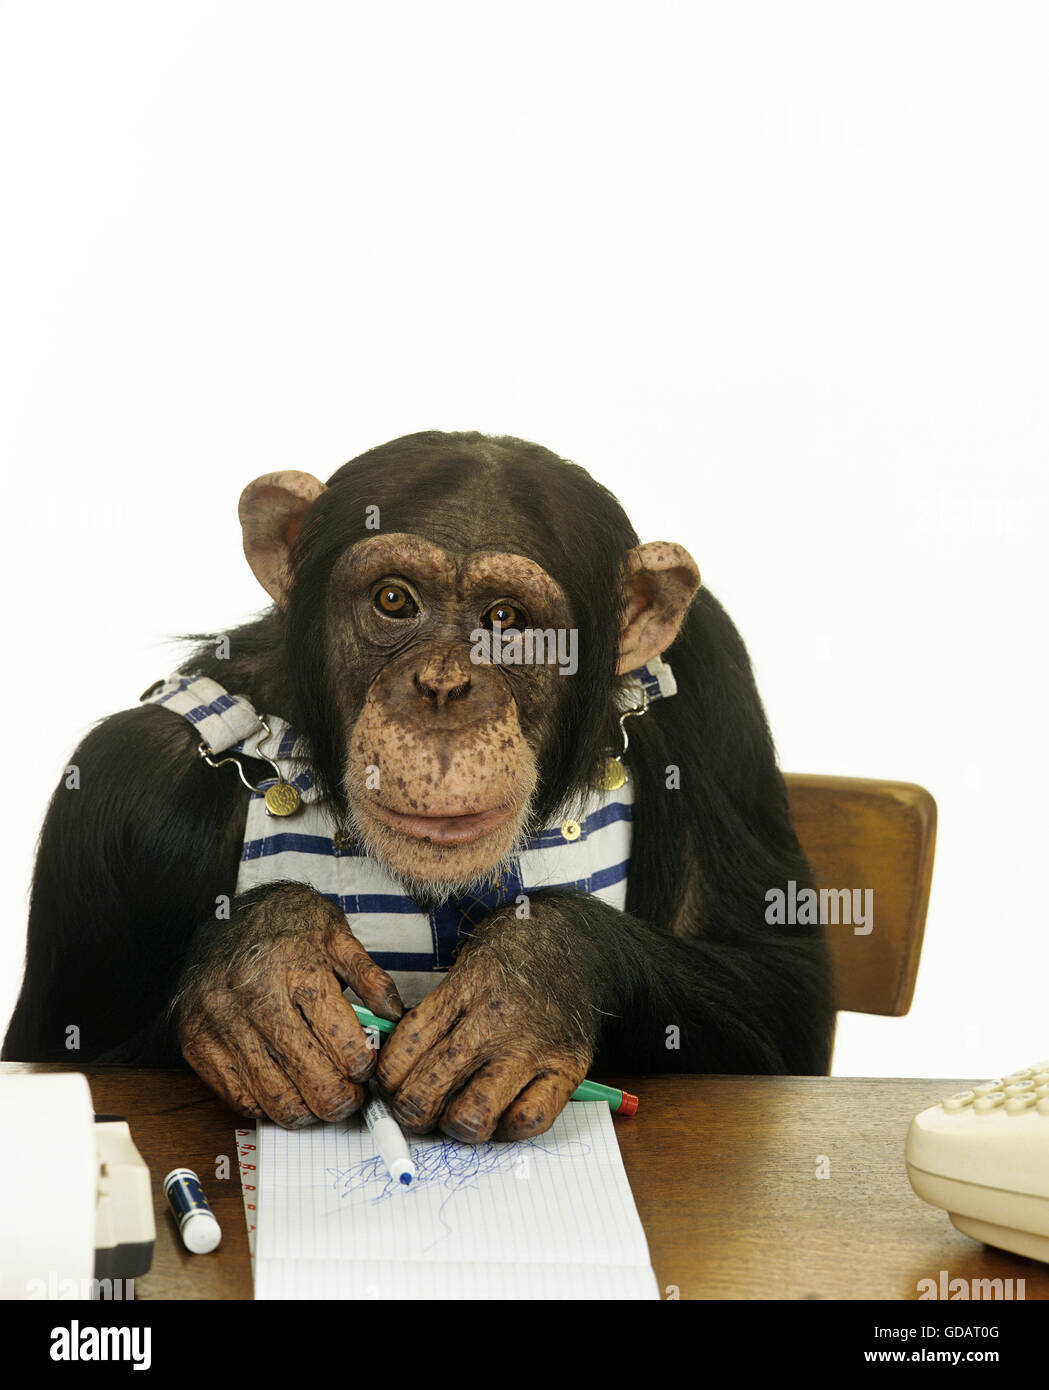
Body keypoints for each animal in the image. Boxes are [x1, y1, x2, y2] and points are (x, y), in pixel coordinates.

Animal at [4, 433, 833, 1139]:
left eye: (505, 620)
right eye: (394, 600)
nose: (440, 687)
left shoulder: (710, 681)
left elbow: (779, 993)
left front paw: (527, 982)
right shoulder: (123, 789)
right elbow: (61, 1053)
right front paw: (264, 968)